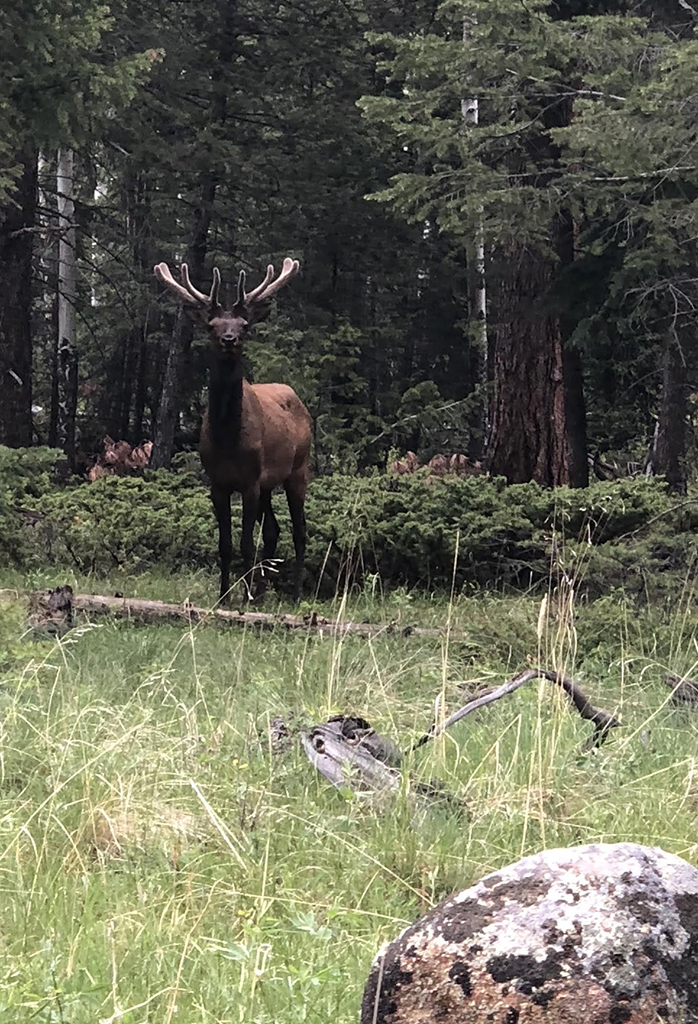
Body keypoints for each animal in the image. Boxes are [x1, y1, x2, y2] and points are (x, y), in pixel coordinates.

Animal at [153, 257, 312, 604]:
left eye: (245, 325)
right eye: (212, 325)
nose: (229, 339)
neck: (227, 438)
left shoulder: (250, 481)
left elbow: (245, 543)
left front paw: (244, 597)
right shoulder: (218, 483)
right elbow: (225, 545)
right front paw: (225, 595)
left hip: (299, 468)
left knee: (299, 530)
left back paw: (294, 592)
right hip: (269, 482)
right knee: (274, 531)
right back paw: (263, 590)